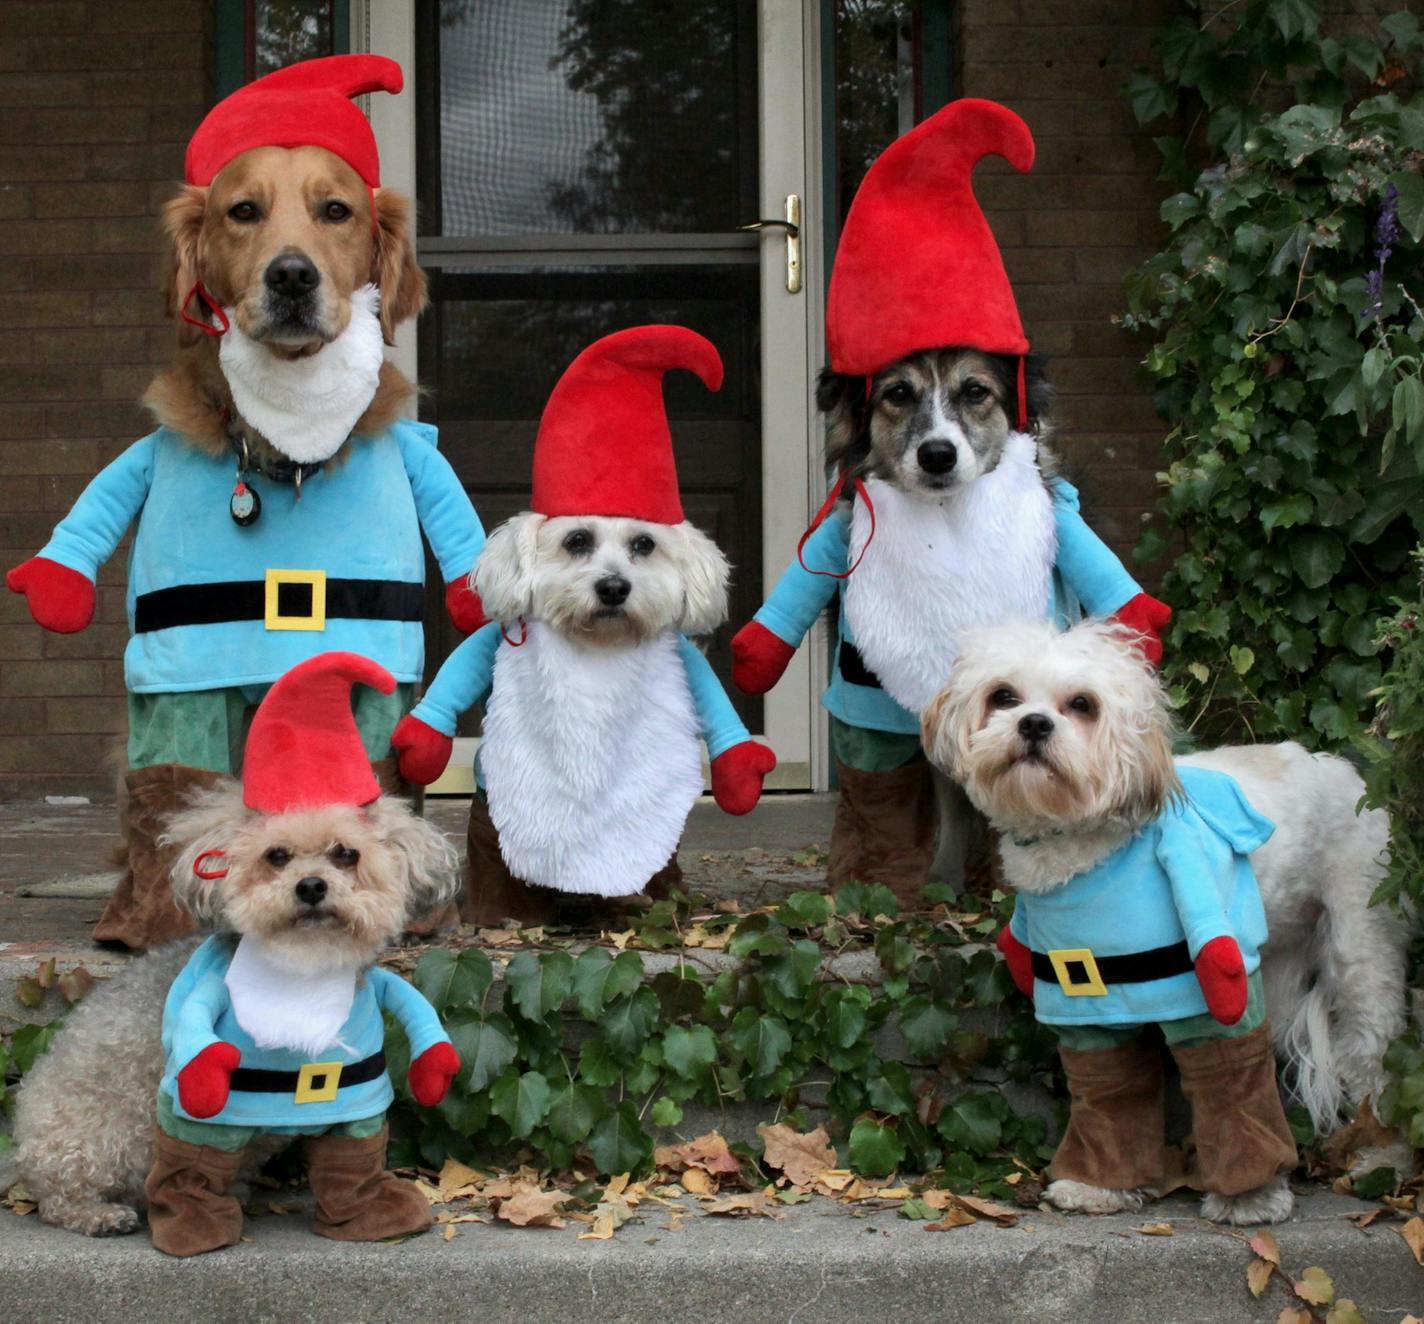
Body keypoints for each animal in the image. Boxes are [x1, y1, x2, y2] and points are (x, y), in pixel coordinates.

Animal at [4, 780, 455, 1235]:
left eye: (346, 854)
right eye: (277, 856)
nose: (311, 886)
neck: (303, 978)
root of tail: (22, 1140)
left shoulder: (351, 1083)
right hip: (90, 1142)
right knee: (60, 1197)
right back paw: (99, 1213)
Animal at [922, 617, 1412, 1218]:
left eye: (1082, 704)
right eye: (1003, 696)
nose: (1034, 724)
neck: (1087, 845)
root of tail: (1357, 777)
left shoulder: (1211, 987)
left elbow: (1227, 1081)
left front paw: (1249, 1198)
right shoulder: (1090, 996)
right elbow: (1111, 1091)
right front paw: (1100, 1185)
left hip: (1359, 945)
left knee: (1372, 1054)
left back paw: (1380, 1158)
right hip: (1277, 966)